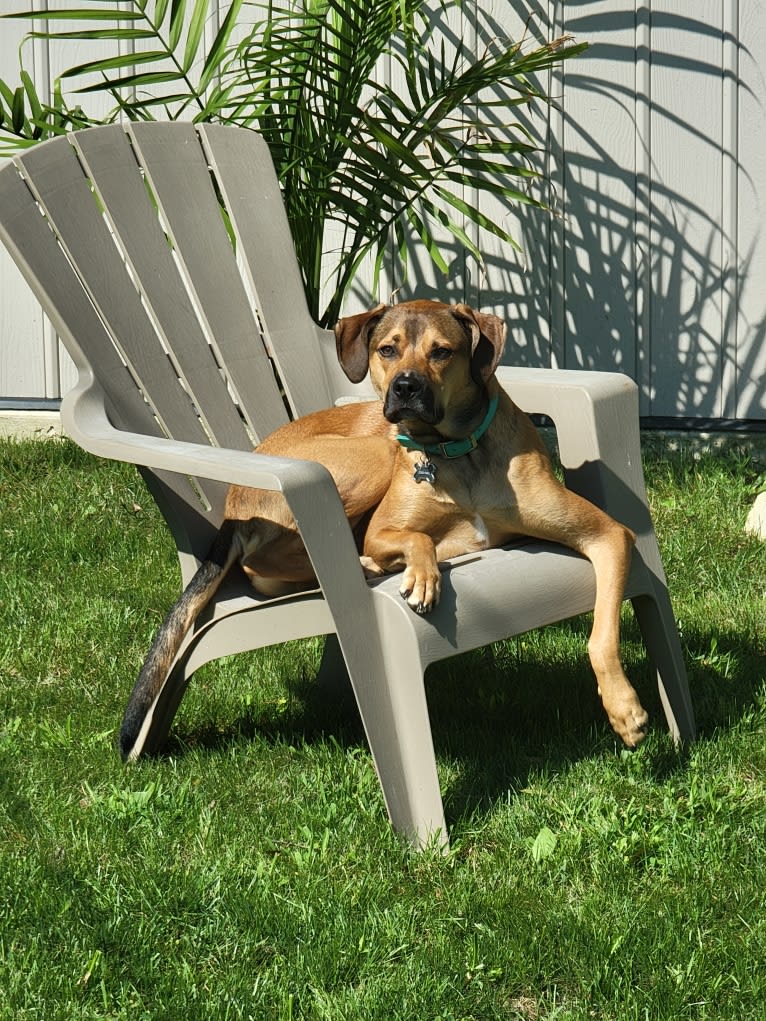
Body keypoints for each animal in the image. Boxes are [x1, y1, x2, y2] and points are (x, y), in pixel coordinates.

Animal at [120, 298, 649, 763]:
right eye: (387, 350)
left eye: (442, 351)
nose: (406, 388)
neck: (457, 450)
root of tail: (233, 500)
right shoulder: (382, 529)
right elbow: (416, 537)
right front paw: (423, 576)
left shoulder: (608, 535)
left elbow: (601, 633)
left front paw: (624, 708)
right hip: (372, 456)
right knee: (263, 560)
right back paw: (366, 563)